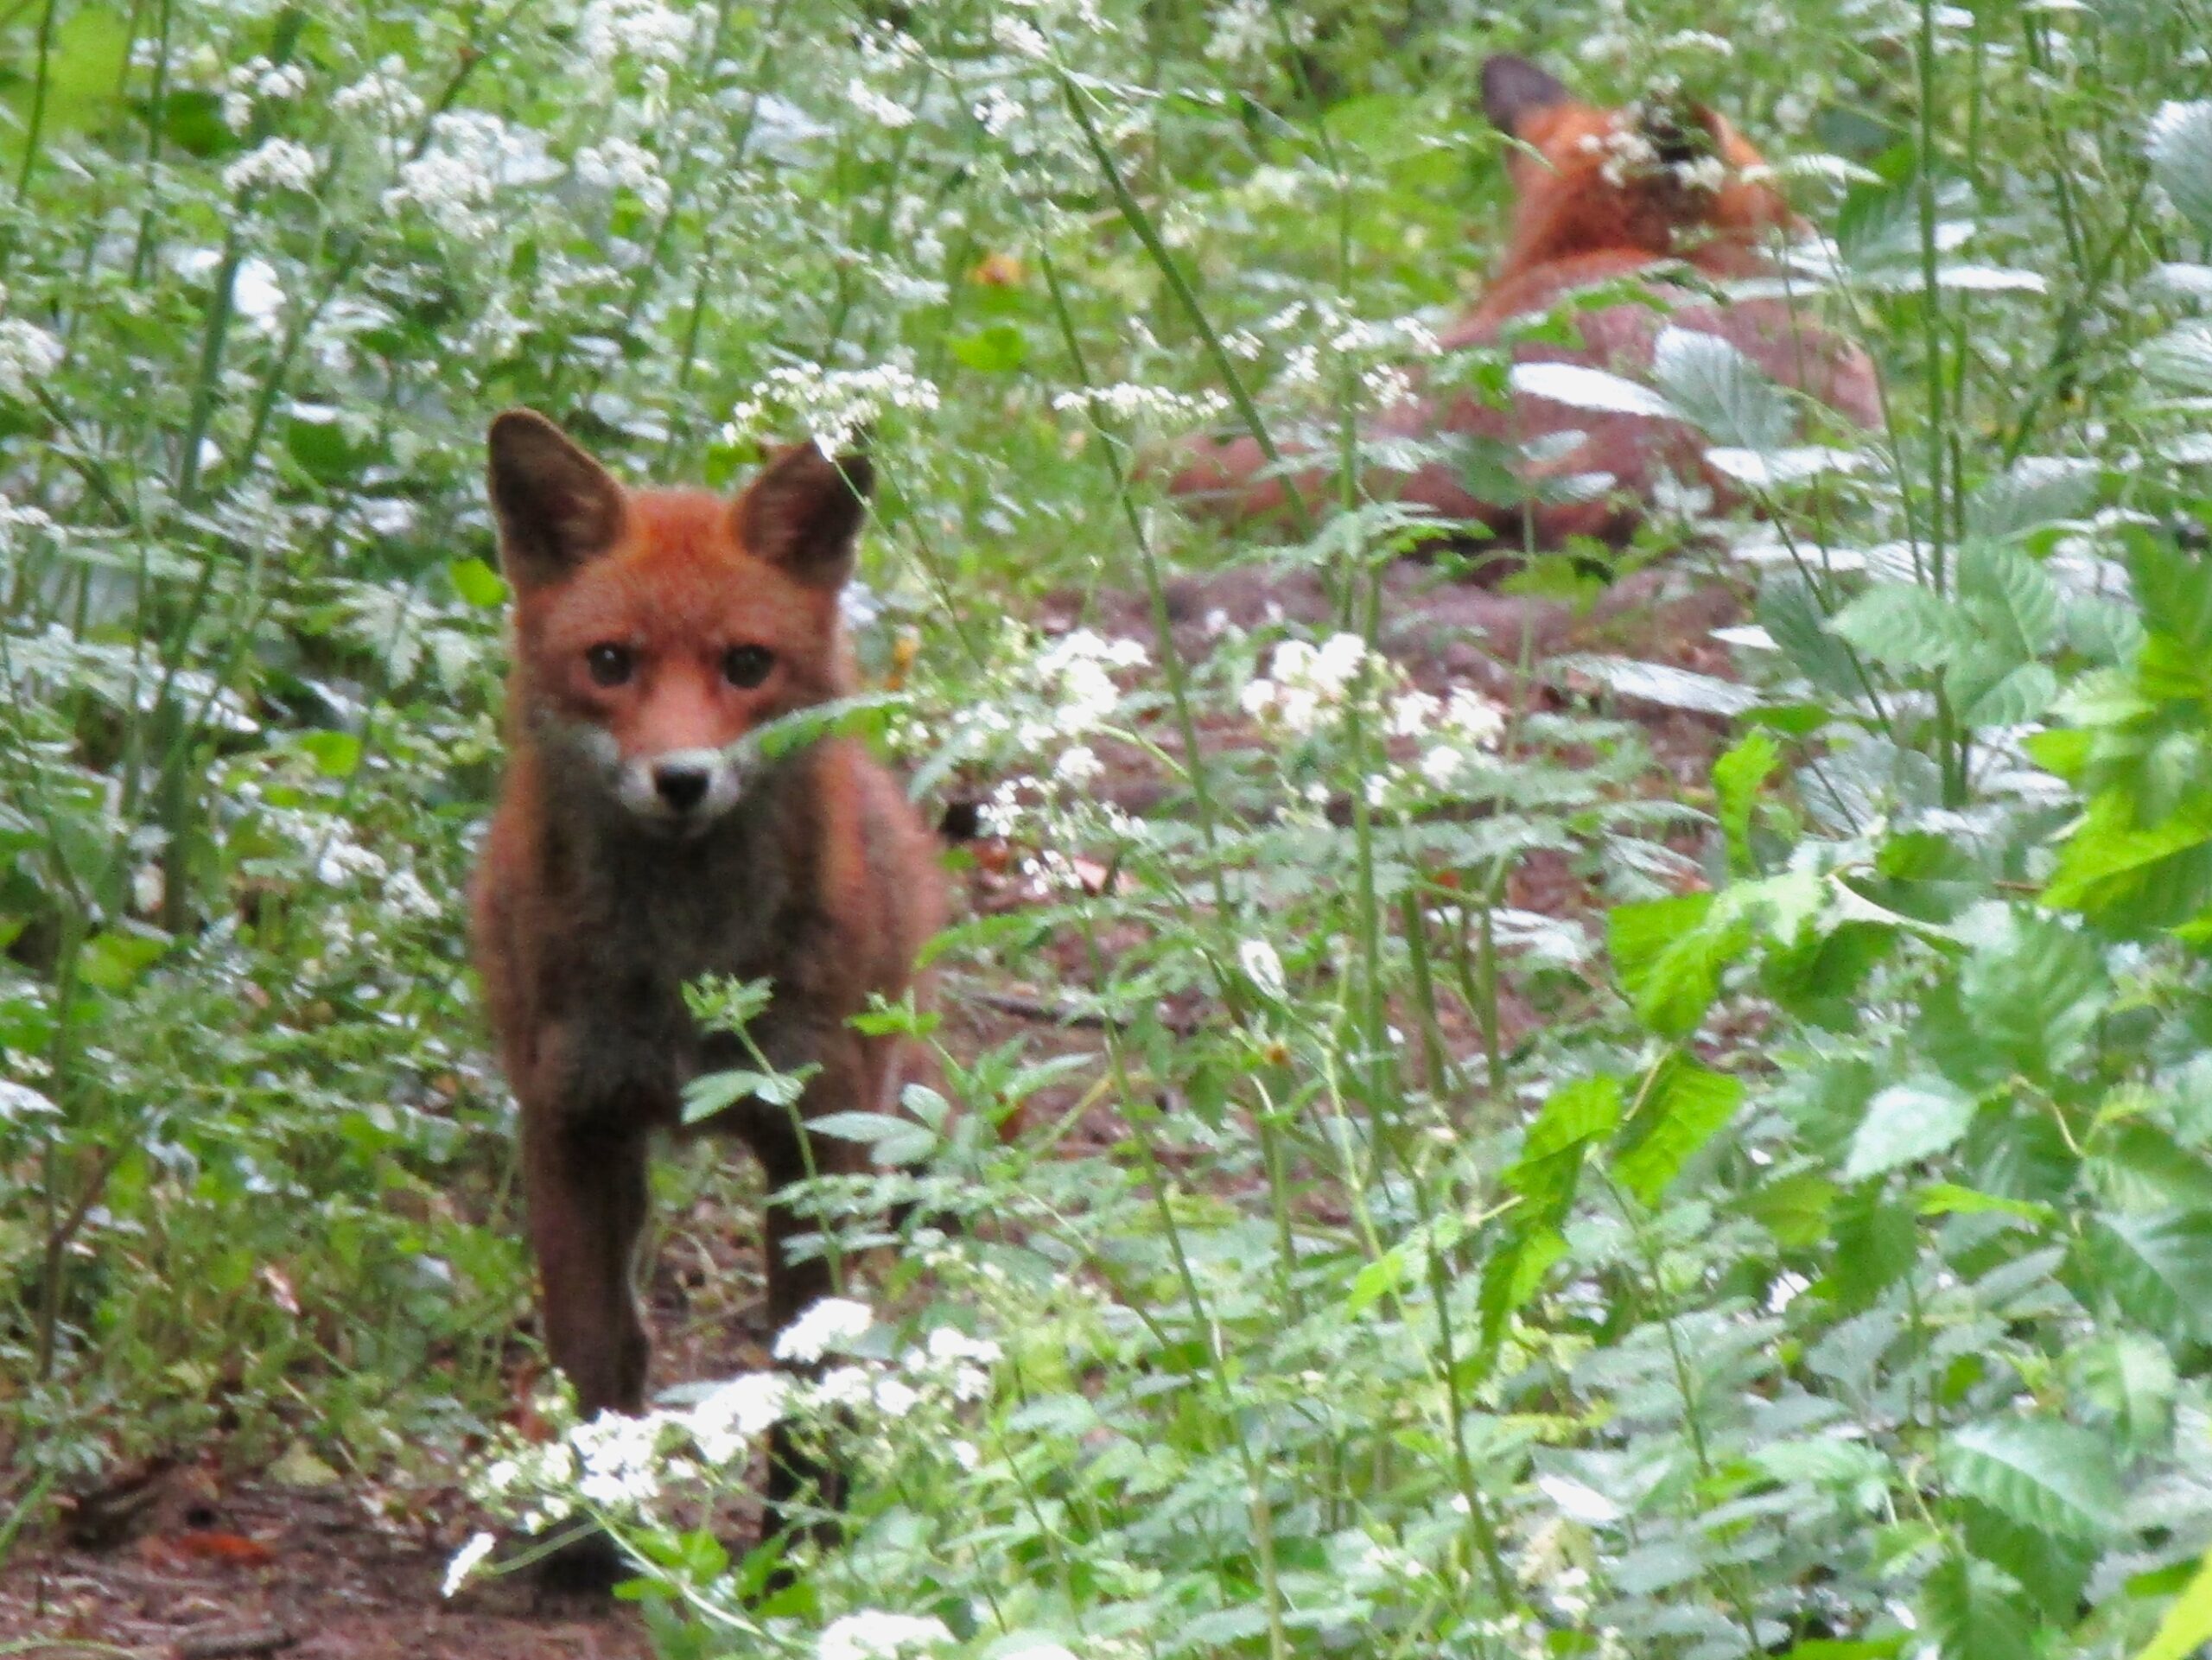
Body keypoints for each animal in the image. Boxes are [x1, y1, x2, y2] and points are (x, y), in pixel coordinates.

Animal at [475, 413, 942, 1575]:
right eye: (609, 663)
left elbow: (811, 1367)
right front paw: (590, 1542)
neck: (684, 962)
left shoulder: (818, 1131)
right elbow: (592, 1343)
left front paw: (802, 1542)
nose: (681, 778)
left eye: (745, 665)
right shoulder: (571, 1117)